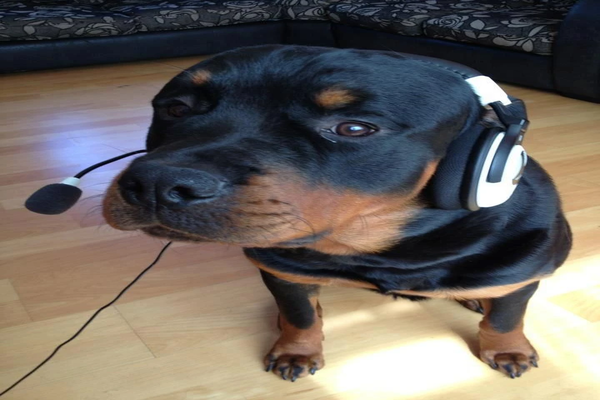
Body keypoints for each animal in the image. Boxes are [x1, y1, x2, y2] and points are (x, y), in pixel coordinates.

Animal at [103, 45, 572, 382]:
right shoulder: (284, 271)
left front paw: (507, 348)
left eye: (354, 128)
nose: (156, 184)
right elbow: (300, 316)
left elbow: (507, 316)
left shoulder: (524, 270)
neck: (384, 247)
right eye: (175, 109)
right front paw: (297, 349)